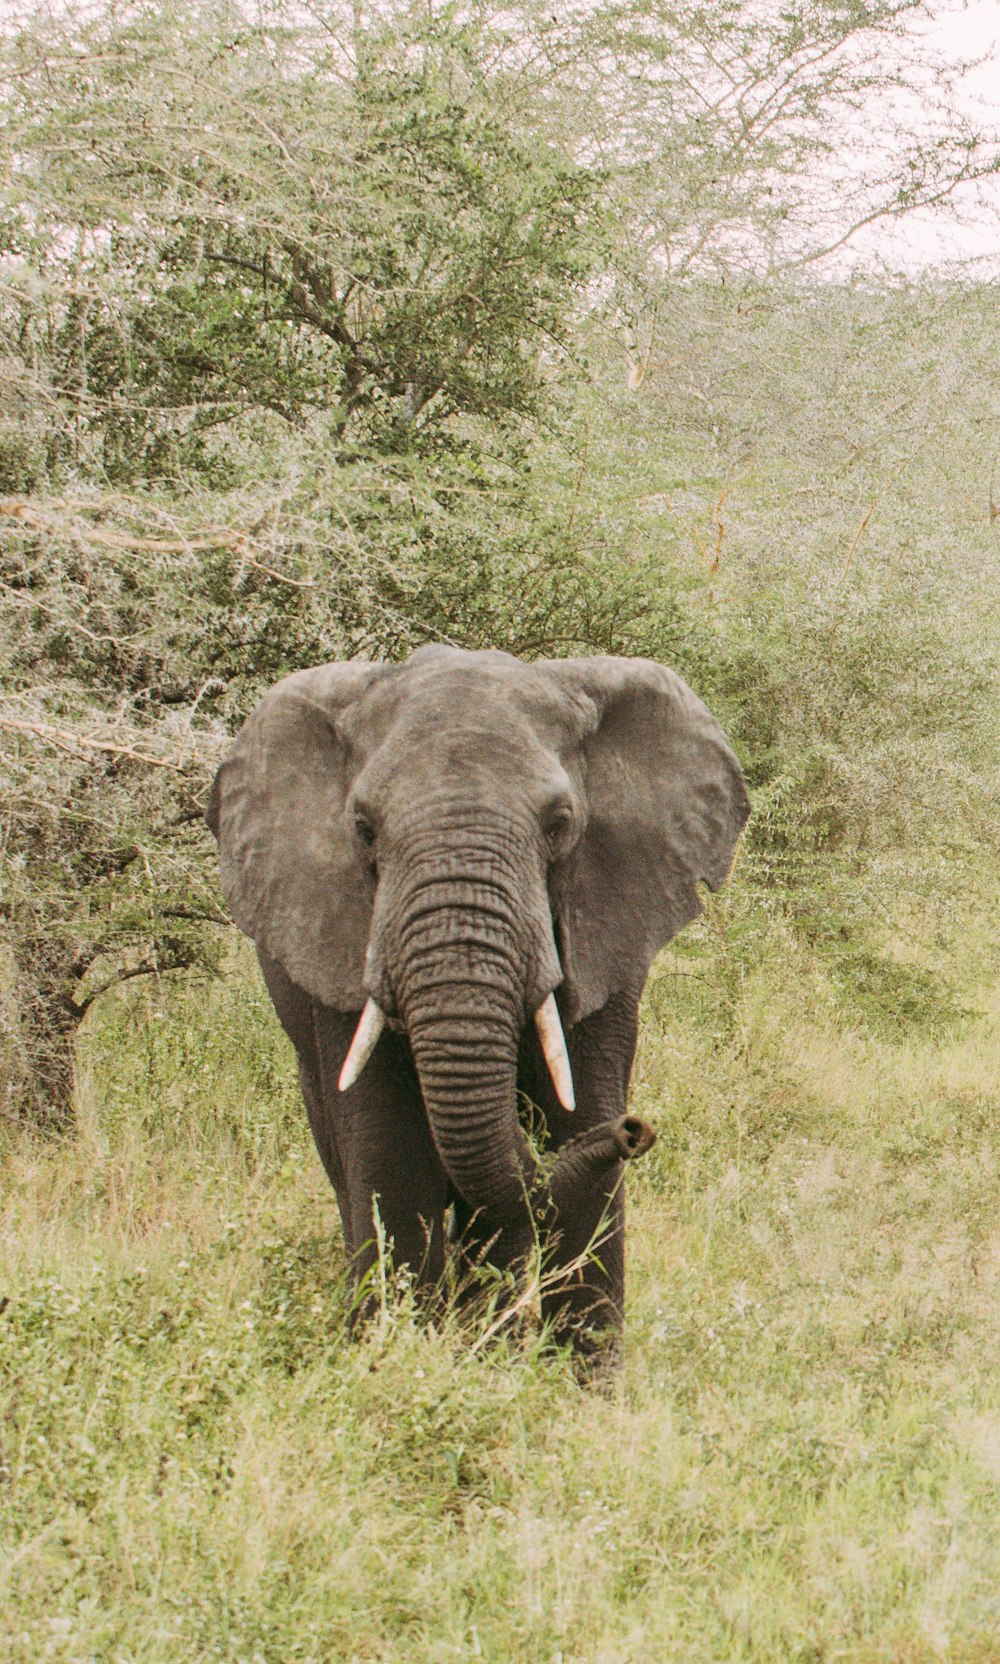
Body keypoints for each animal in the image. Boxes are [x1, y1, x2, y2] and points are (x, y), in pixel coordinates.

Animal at [206, 642, 745, 1357]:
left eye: (560, 824)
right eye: (363, 829)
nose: (637, 1129)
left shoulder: (607, 922)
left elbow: (578, 1120)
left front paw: (576, 1380)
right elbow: (391, 1157)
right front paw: (395, 1358)